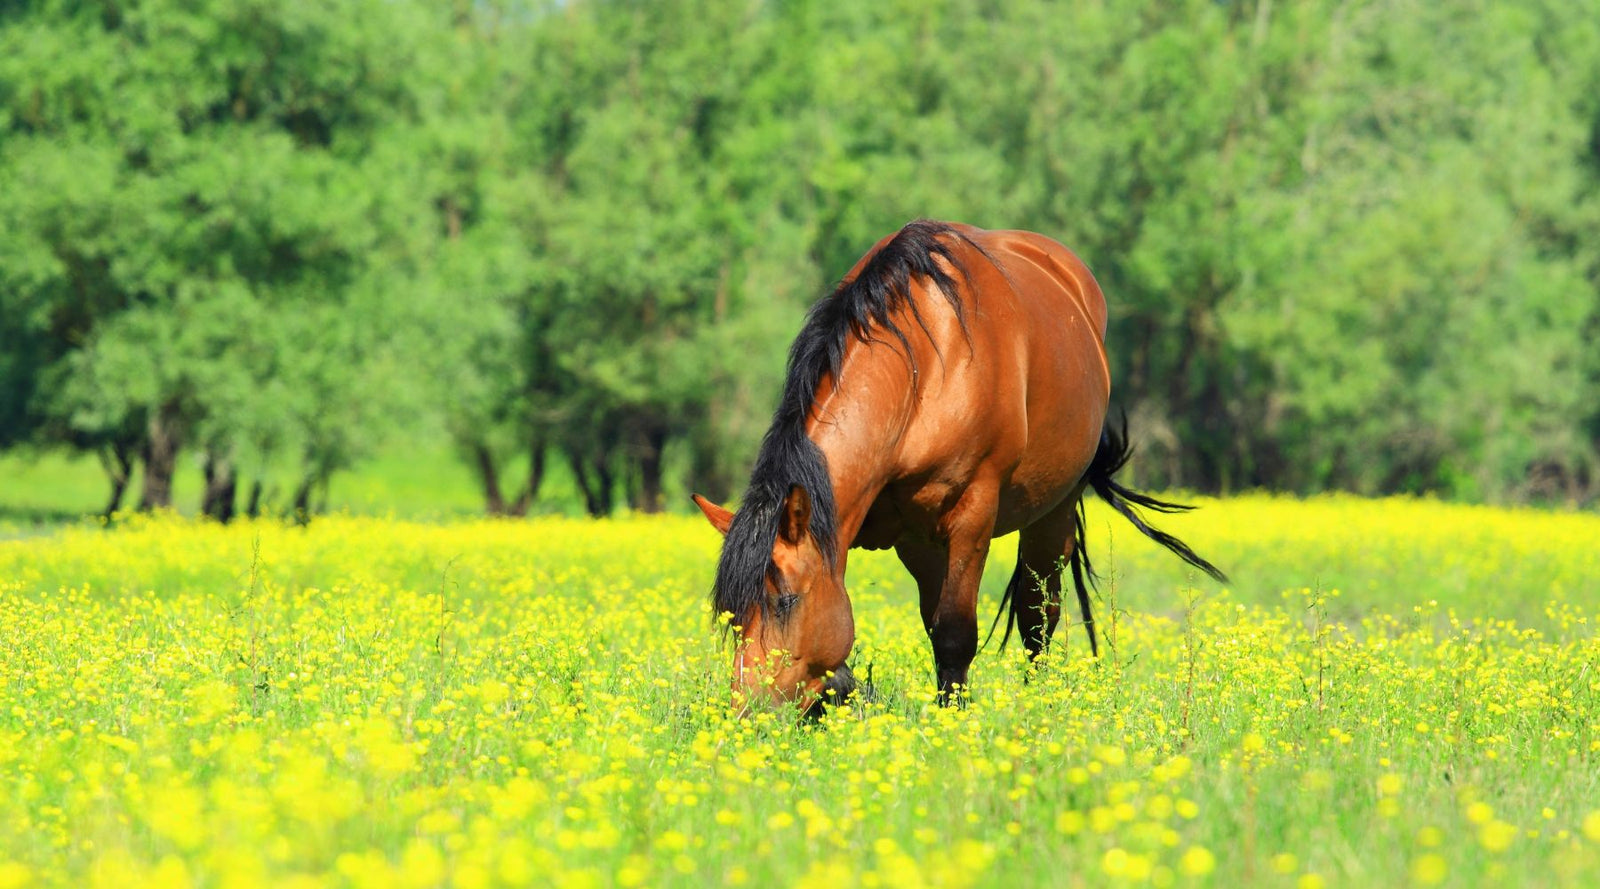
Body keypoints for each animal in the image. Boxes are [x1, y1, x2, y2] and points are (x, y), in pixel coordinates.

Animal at [693, 220, 1225, 713]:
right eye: (732, 614)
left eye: (786, 600)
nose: (748, 712)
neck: (924, 372)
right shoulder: (911, 536)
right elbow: (907, 637)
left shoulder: (970, 516)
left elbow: (954, 633)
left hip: (1053, 510)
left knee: (1039, 617)